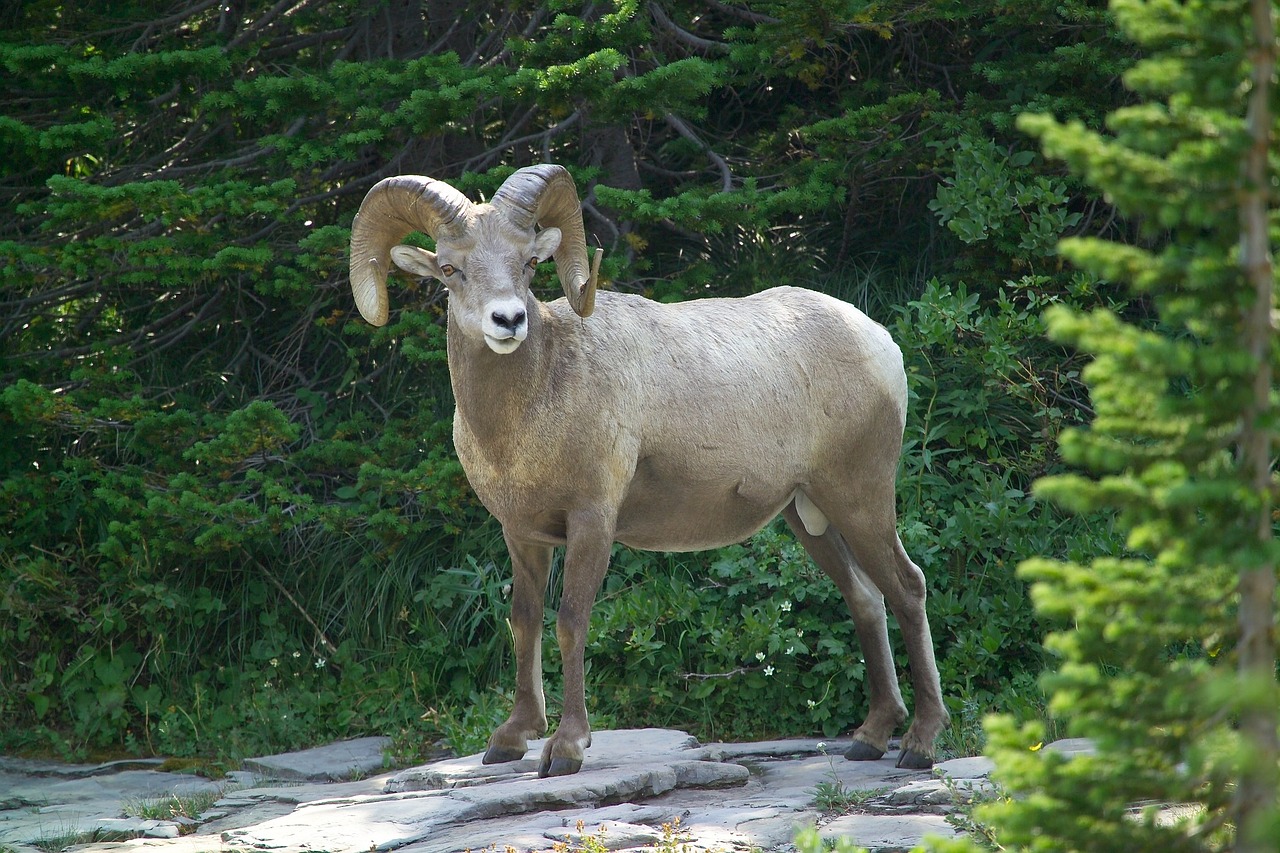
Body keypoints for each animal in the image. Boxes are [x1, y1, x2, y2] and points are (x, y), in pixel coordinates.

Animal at [350, 162, 952, 773]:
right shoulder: (522, 535)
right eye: (451, 269)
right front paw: (510, 739)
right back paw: (870, 737)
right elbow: (525, 621)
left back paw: (919, 744)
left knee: (908, 588)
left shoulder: (592, 523)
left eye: (528, 264)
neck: (528, 412)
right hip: (809, 517)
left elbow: (571, 621)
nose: (509, 320)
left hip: (860, 499)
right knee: (865, 597)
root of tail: (880, 342)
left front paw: (566, 748)